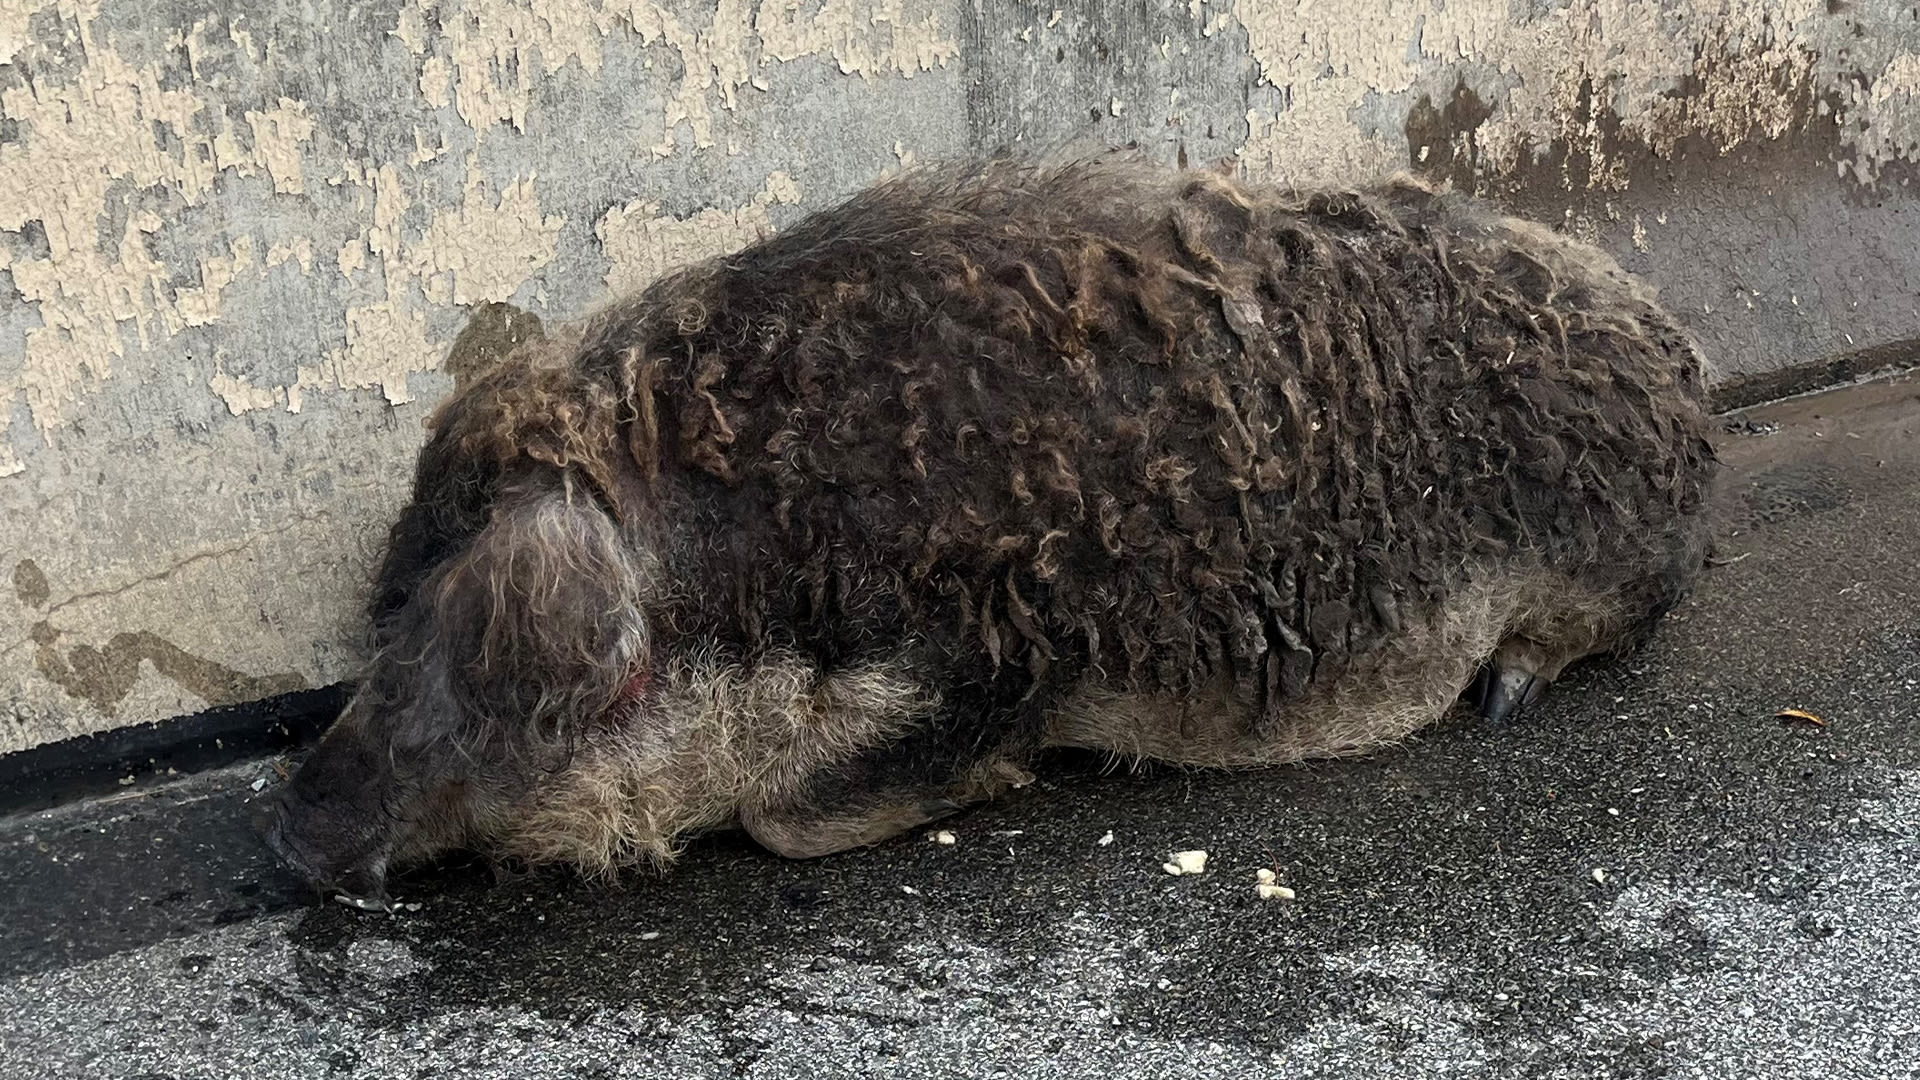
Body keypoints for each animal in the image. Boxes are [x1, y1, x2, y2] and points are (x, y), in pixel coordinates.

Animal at [251, 155, 1712, 903]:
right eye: (381, 607)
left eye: (440, 617)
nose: (291, 822)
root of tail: (1677, 346)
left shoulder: (990, 668)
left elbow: (790, 818)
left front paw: (1008, 790)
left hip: (1613, 572)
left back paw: (1506, 696)